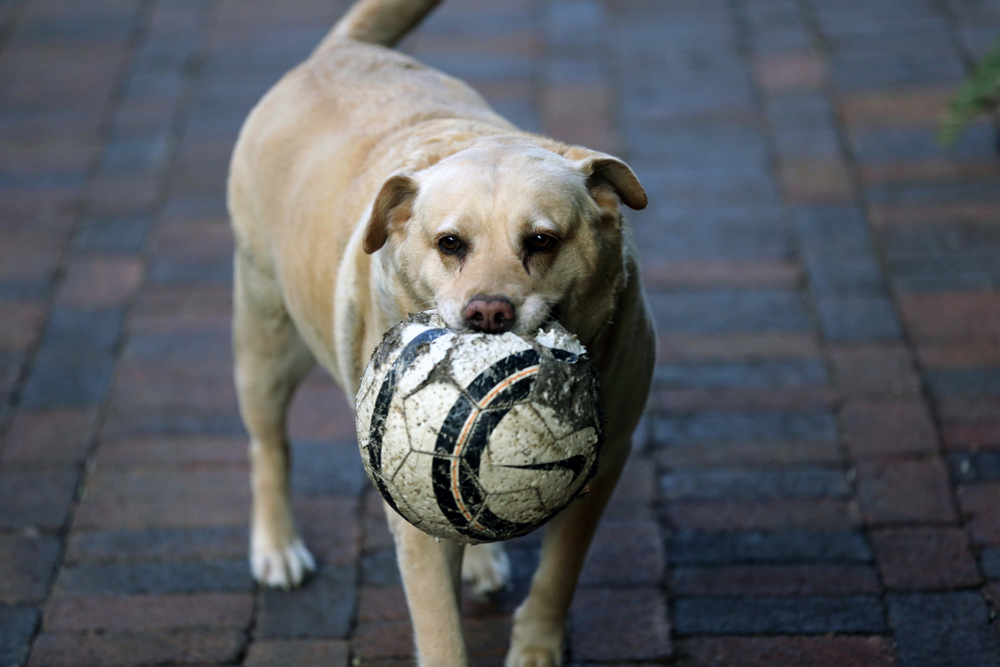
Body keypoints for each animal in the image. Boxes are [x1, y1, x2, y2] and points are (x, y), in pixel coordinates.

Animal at [228, 0, 655, 664]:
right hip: (266, 336)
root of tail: (338, 52)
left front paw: (536, 647)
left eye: (542, 241)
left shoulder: (606, 463)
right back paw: (276, 547)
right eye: (450, 243)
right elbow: (438, 628)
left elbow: (559, 571)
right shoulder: (409, 504)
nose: (488, 314)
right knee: (268, 447)